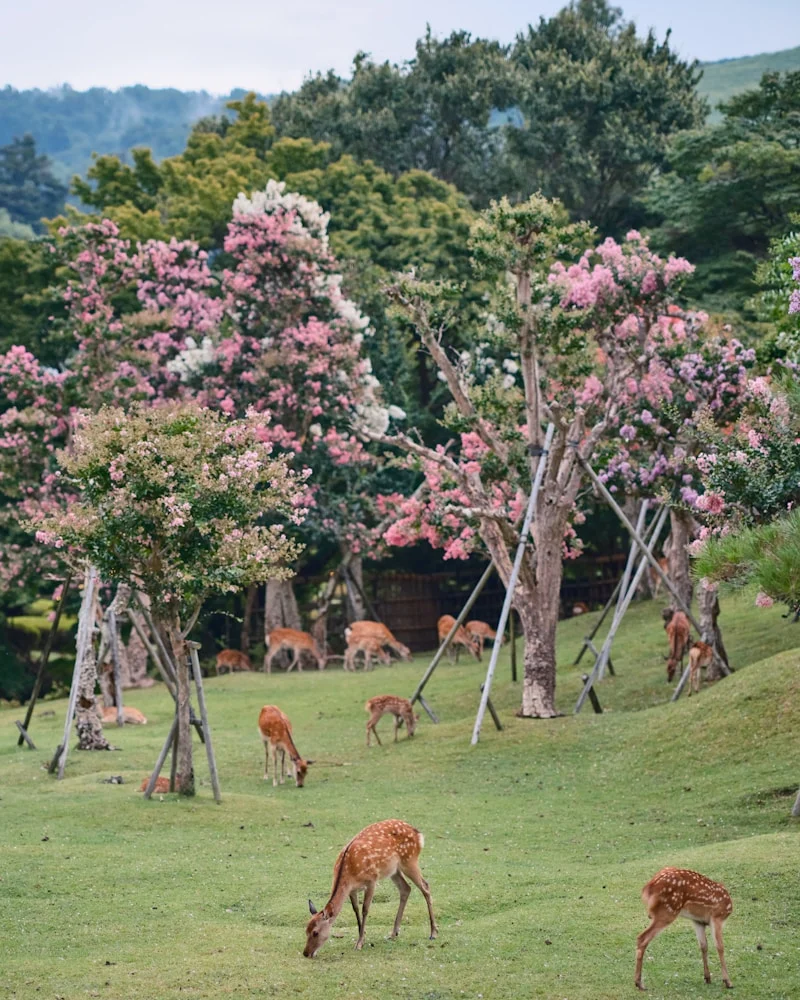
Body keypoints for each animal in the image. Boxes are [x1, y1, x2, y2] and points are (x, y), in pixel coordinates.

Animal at [304, 819, 437, 957]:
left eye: (315, 932)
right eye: (306, 930)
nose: (306, 953)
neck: (349, 873)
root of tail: (418, 833)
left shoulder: (372, 880)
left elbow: (365, 909)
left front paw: (359, 943)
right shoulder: (352, 889)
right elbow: (356, 909)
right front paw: (362, 937)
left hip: (409, 860)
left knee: (425, 886)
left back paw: (433, 933)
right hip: (393, 870)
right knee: (406, 888)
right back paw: (394, 933)